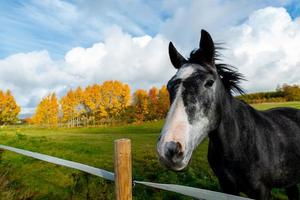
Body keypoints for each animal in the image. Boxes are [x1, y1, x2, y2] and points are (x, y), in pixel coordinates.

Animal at [156, 29, 300, 200]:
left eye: (209, 82)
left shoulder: (262, 190)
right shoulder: (227, 187)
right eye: (169, 86)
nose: (169, 149)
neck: (238, 144)